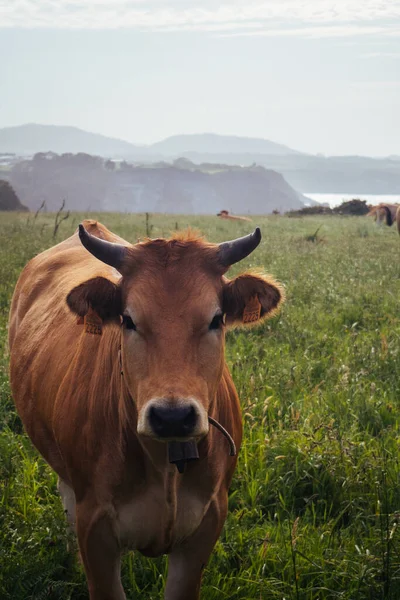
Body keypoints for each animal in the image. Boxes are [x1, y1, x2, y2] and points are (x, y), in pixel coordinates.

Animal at [9, 220, 284, 600]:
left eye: (216, 319)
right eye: (128, 320)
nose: (172, 417)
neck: (165, 464)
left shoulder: (207, 524)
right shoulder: (95, 529)